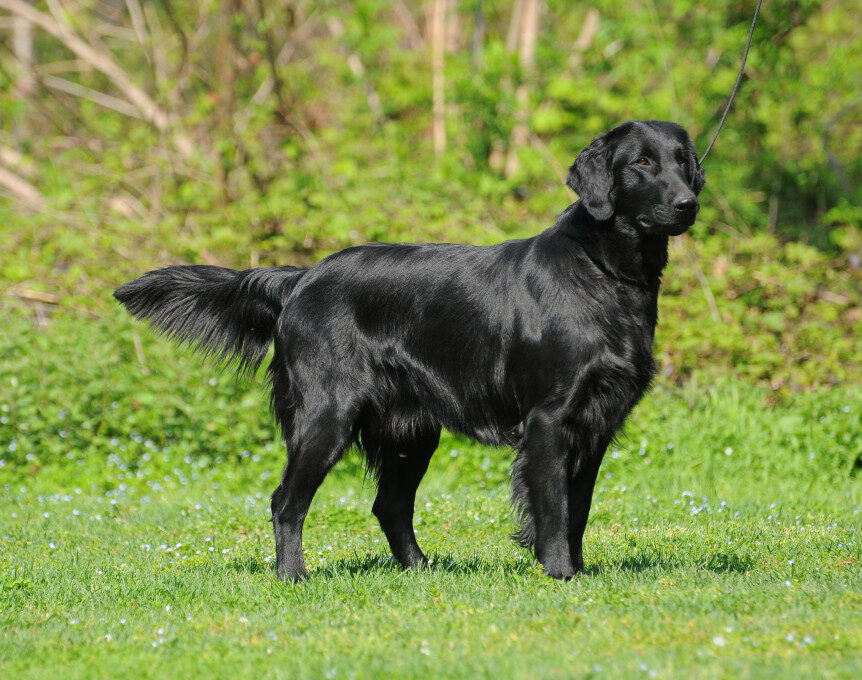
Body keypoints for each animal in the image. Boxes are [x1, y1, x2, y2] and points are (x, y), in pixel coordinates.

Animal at [115, 121, 704, 580]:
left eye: (683, 161)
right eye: (642, 163)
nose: (688, 203)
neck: (603, 272)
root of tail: (300, 278)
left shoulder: (596, 424)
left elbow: (577, 508)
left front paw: (579, 572)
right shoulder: (549, 419)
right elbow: (554, 508)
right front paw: (560, 573)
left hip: (412, 430)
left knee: (389, 505)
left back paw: (422, 570)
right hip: (327, 414)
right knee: (287, 502)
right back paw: (293, 576)